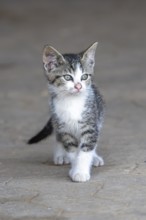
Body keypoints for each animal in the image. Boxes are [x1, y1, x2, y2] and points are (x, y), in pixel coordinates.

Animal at [27, 42, 105, 181]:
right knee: (59, 136)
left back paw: (95, 158)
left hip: (99, 115)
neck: (72, 102)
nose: (78, 86)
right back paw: (60, 155)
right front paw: (75, 169)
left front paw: (81, 172)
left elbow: (86, 149)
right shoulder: (64, 127)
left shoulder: (90, 124)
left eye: (84, 76)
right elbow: (72, 151)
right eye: (67, 77)